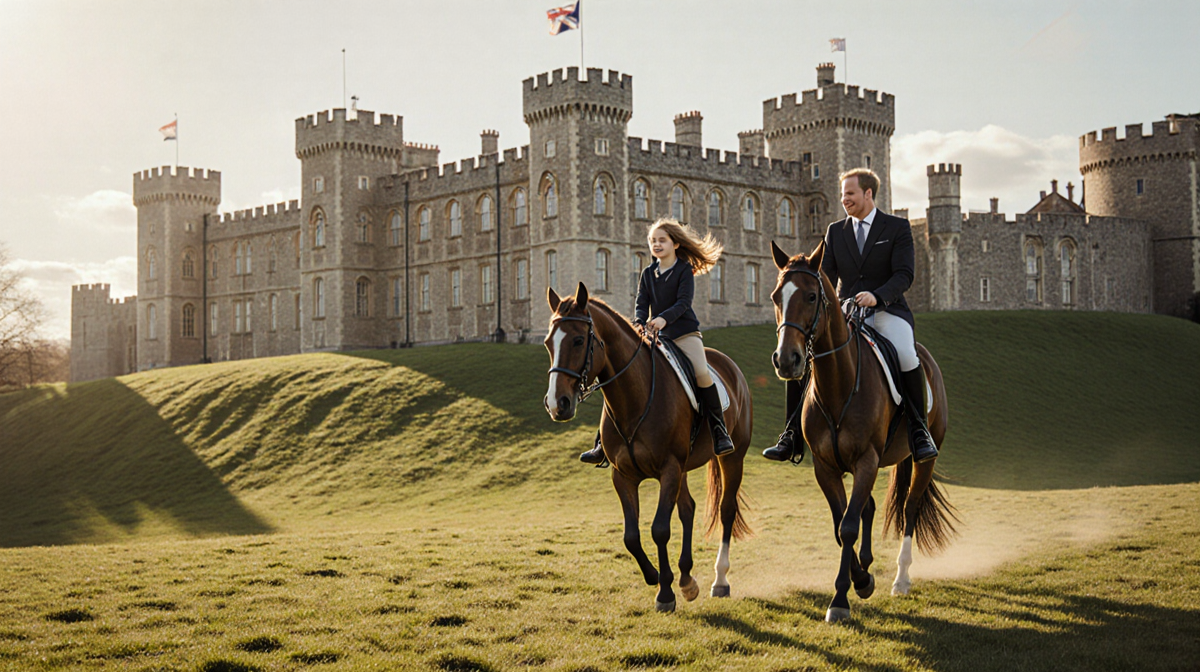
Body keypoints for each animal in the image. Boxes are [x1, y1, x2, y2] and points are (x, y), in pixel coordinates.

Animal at [543, 282, 753, 612]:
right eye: (548, 344)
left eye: (578, 340)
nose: (556, 404)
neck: (634, 399)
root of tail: (729, 365)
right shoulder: (623, 476)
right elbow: (631, 536)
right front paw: (656, 576)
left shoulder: (669, 469)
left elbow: (659, 529)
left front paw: (665, 593)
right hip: (683, 470)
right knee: (688, 510)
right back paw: (687, 579)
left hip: (732, 459)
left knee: (726, 510)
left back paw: (719, 580)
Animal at [769, 241, 958, 623]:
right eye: (776, 297)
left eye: (811, 296)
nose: (787, 360)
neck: (838, 386)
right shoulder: (825, 467)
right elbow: (841, 524)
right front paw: (860, 579)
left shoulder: (867, 461)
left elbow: (847, 526)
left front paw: (842, 597)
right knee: (868, 506)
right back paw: (869, 567)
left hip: (923, 460)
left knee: (910, 508)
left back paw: (901, 579)